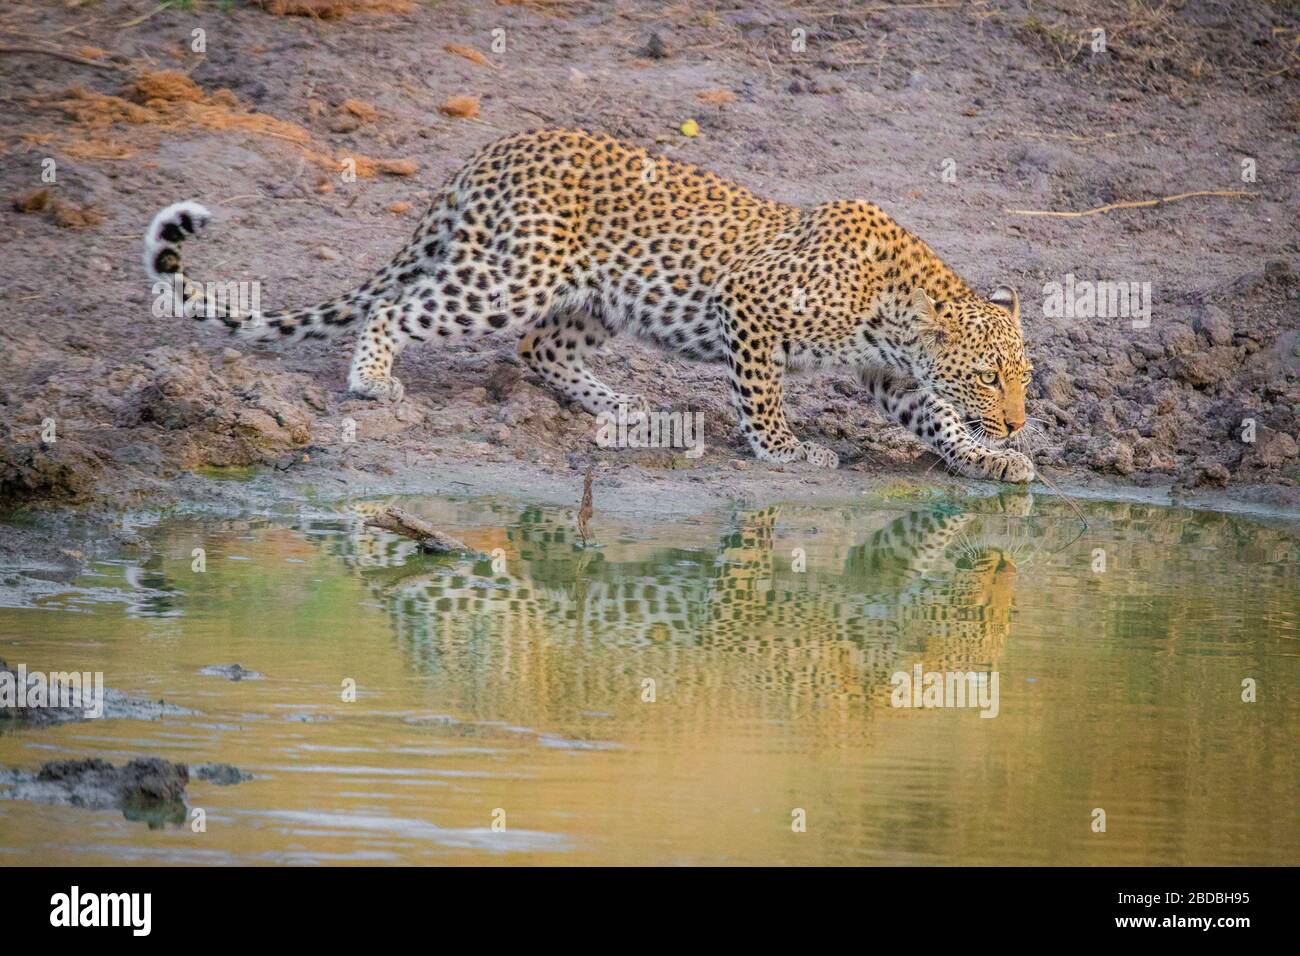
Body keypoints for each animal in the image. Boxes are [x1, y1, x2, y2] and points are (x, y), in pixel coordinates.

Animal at [142, 126, 1034, 481]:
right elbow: (763, 396)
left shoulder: (892, 373)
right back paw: (371, 379)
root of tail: (492, 149)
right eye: (990, 376)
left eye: (1024, 376)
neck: (901, 306)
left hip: (594, 299)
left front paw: (992, 459)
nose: (1021, 421)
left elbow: (936, 418)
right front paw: (785, 451)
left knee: (538, 350)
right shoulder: (751, 310)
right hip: (510, 281)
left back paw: (629, 409)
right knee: (400, 309)